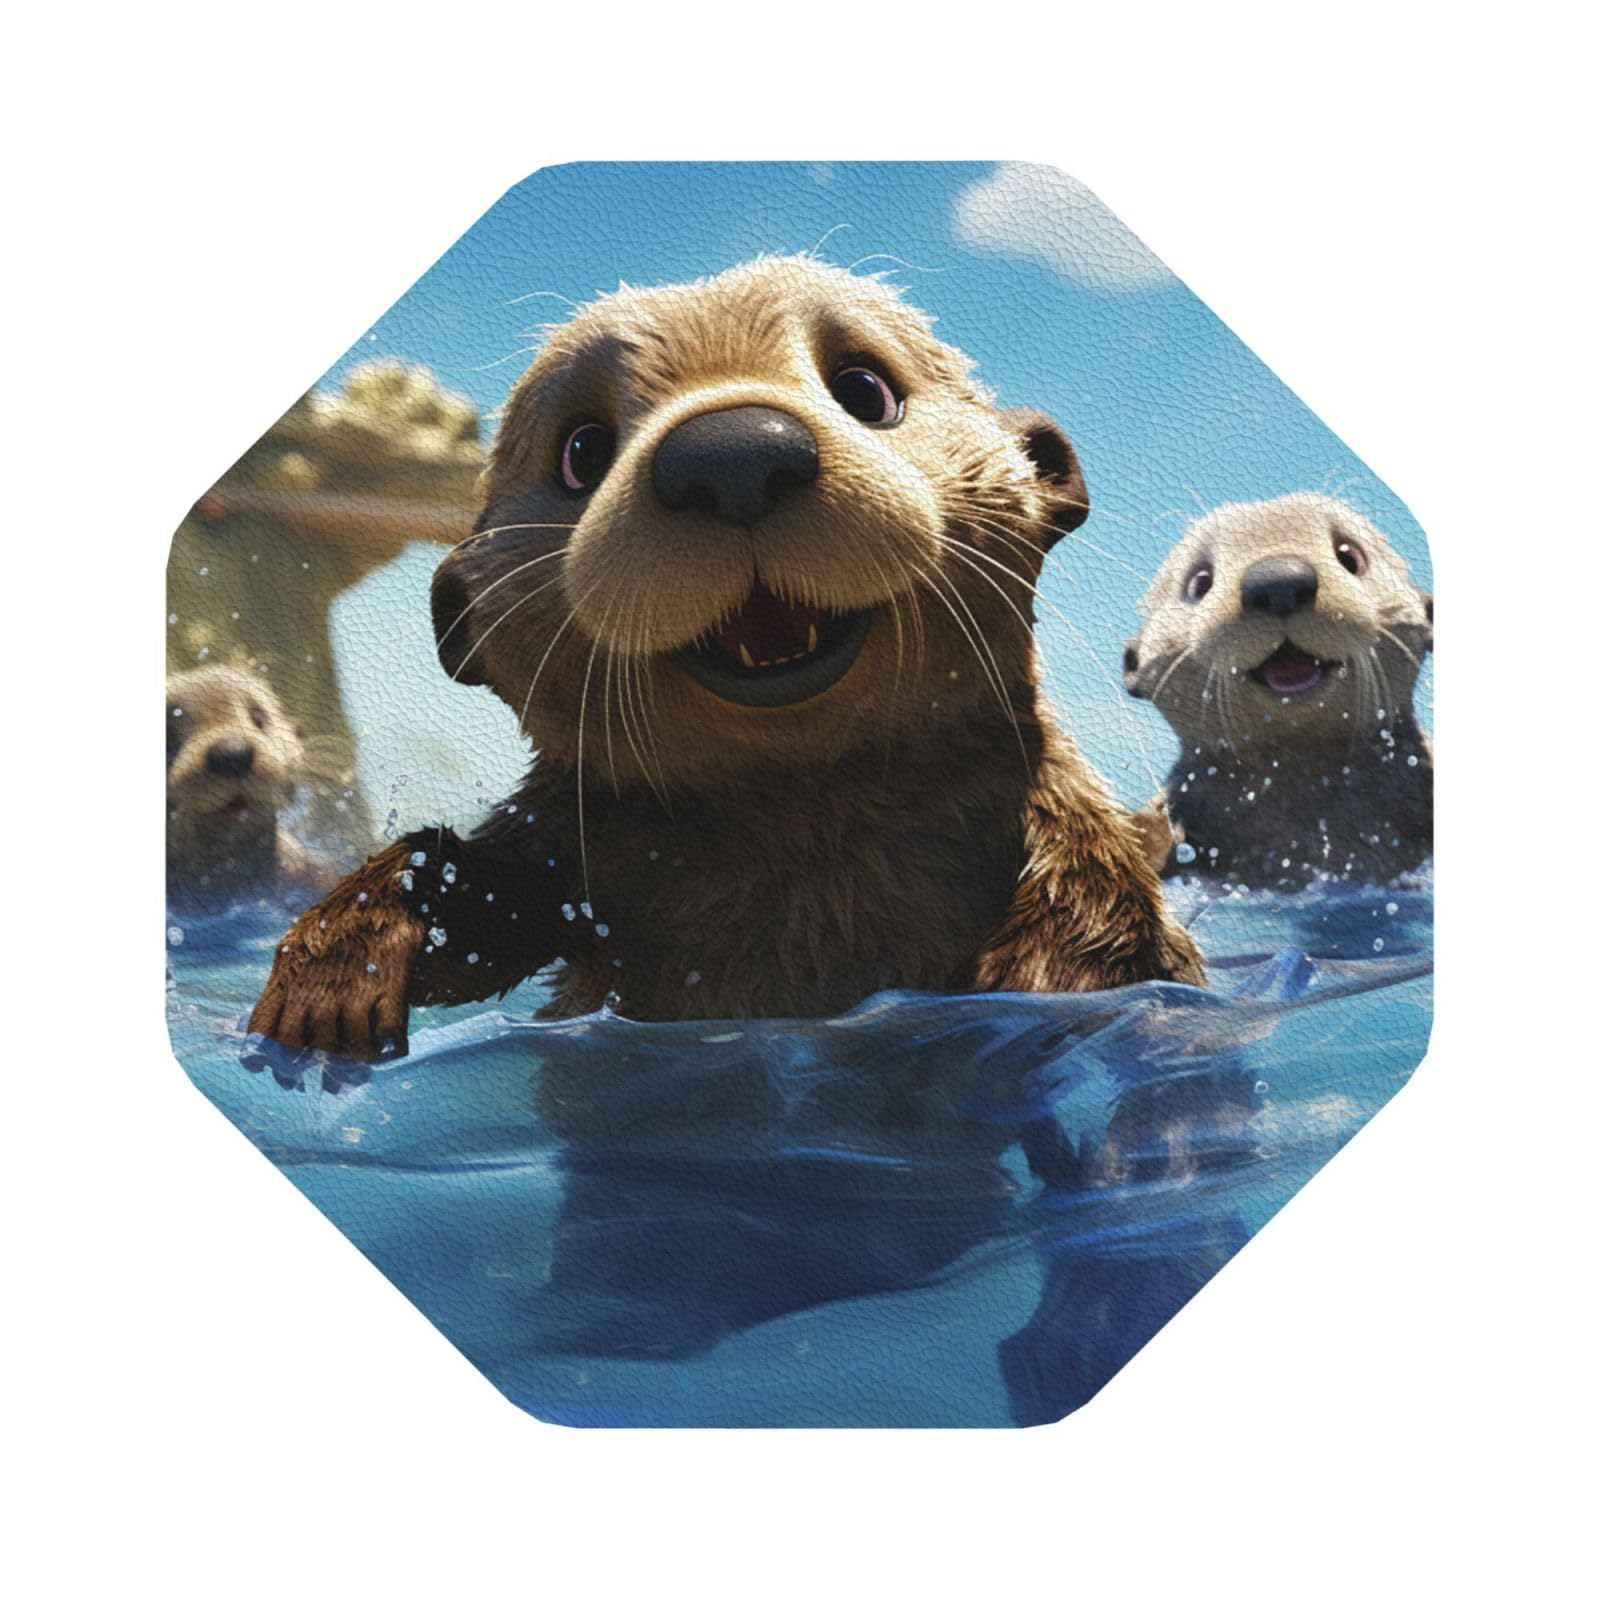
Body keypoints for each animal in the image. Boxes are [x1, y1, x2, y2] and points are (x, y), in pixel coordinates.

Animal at [246, 256, 1202, 1059]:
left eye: (866, 390)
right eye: (582, 449)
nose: (735, 452)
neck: (809, 830)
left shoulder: (1057, 819)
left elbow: (1102, 926)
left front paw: (1046, 984)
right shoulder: (565, 848)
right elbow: (468, 898)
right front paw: (329, 981)